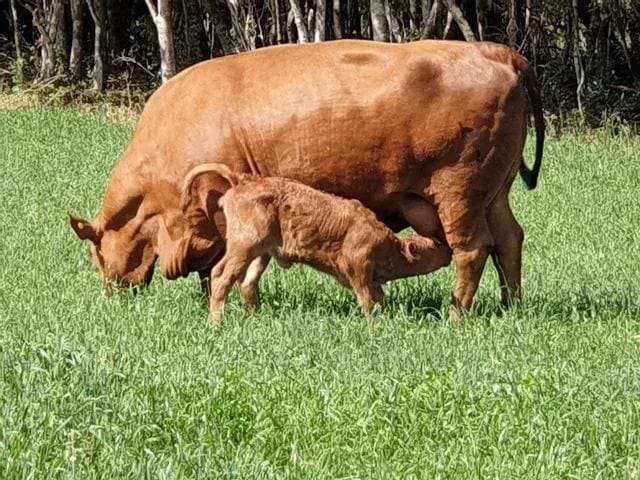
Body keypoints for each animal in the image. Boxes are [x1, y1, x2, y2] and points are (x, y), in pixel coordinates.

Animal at [179, 163, 450, 324]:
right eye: (435, 246)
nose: (448, 248)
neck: (390, 247)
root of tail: (242, 181)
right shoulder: (358, 266)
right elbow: (366, 298)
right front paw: (374, 324)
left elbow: (377, 295)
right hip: (243, 246)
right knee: (221, 274)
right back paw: (217, 321)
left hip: (261, 252)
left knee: (247, 281)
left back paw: (255, 316)